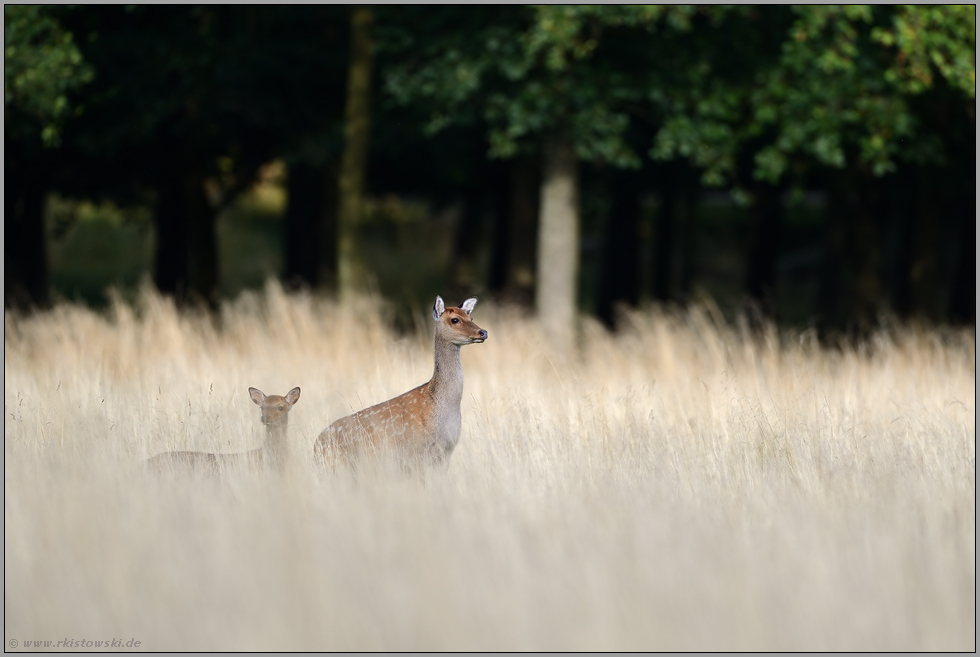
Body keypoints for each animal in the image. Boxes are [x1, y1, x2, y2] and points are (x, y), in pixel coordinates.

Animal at [316, 296, 488, 472]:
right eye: (455, 320)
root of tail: (316, 446)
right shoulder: (416, 452)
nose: (483, 332)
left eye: (471, 317)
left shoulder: (445, 453)